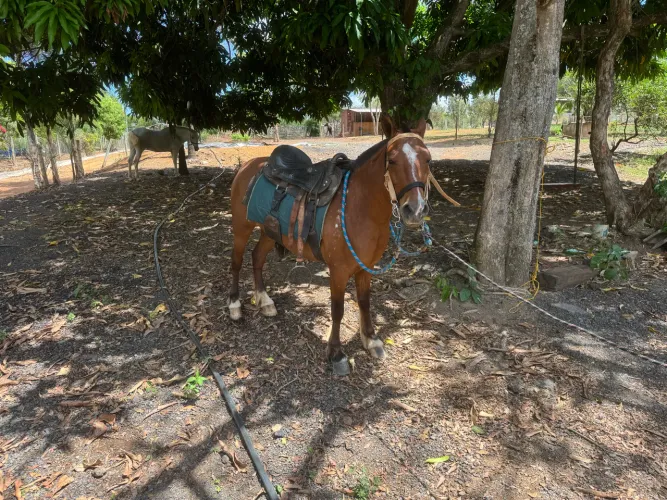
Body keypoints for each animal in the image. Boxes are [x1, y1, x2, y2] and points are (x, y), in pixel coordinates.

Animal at [228, 114, 430, 376]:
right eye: (393, 160)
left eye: (428, 159)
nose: (414, 210)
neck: (360, 206)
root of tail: (248, 166)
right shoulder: (339, 270)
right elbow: (338, 309)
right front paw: (336, 353)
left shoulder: (365, 267)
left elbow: (364, 302)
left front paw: (371, 340)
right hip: (241, 229)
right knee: (236, 262)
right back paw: (234, 305)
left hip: (269, 232)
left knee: (257, 258)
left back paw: (265, 301)